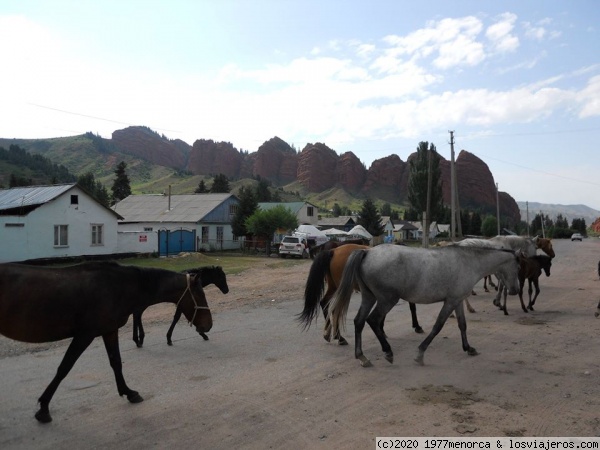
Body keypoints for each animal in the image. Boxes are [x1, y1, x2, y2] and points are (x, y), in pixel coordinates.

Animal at [0, 260, 213, 422]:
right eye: (200, 294)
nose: (208, 325)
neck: (117, 286)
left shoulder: (109, 330)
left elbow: (116, 362)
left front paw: (129, 392)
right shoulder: (84, 335)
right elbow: (64, 368)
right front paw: (44, 407)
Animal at [328, 244, 520, 368]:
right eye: (518, 267)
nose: (515, 290)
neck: (468, 263)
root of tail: (367, 252)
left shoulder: (457, 300)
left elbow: (462, 325)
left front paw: (469, 348)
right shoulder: (450, 302)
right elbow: (438, 326)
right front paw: (420, 354)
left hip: (369, 297)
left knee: (359, 321)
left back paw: (362, 357)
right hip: (386, 300)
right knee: (373, 321)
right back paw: (388, 352)